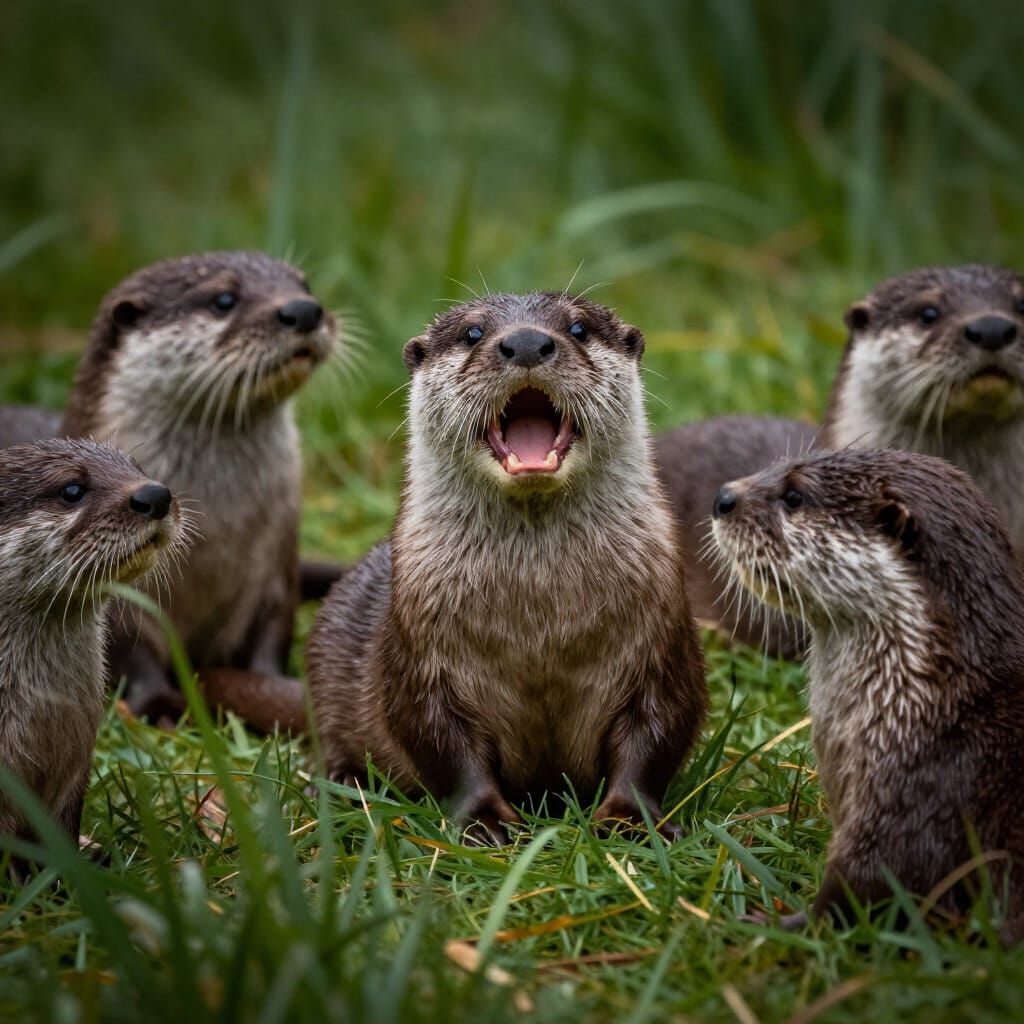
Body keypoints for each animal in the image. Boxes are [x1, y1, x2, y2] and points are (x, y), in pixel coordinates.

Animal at [306, 292, 707, 843]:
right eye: (473, 333)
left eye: (578, 328)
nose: (526, 341)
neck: (538, 627)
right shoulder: (420, 659)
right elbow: (443, 745)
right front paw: (484, 820)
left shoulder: (663, 648)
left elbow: (654, 738)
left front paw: (630, 818)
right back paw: (345, 785)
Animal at [712, 447, 1024, 941]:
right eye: (776, 466)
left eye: (794, 497)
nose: (723, 497)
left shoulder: (917, 799)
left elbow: (866, 891)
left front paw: (769, 923)